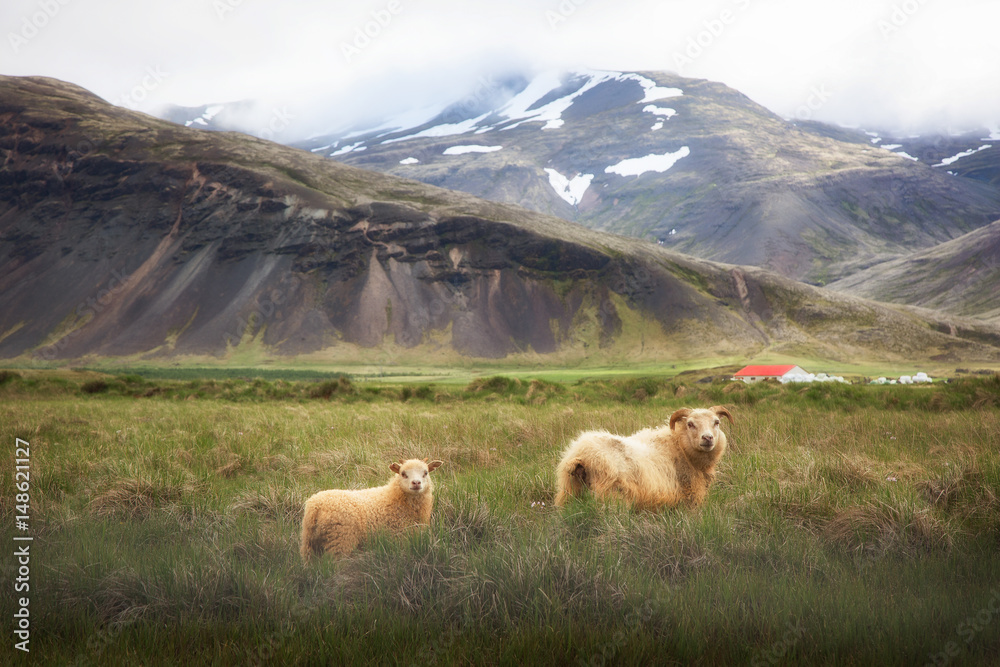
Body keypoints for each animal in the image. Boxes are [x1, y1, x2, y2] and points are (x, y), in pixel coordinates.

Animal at [300, 458, 443, 561]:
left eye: (426, 473)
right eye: (403, 474)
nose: (416, 483)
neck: (394, 498)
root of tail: (316, 507)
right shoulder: (400, 538)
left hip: (309, 543)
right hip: (340, 541)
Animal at [554, 406, 733, 510]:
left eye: (716, 422)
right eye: (690, 424)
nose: (708, 438)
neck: (679, 445)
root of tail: (582, 456)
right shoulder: (690, 500)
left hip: (568, 493)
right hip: (612, 498)